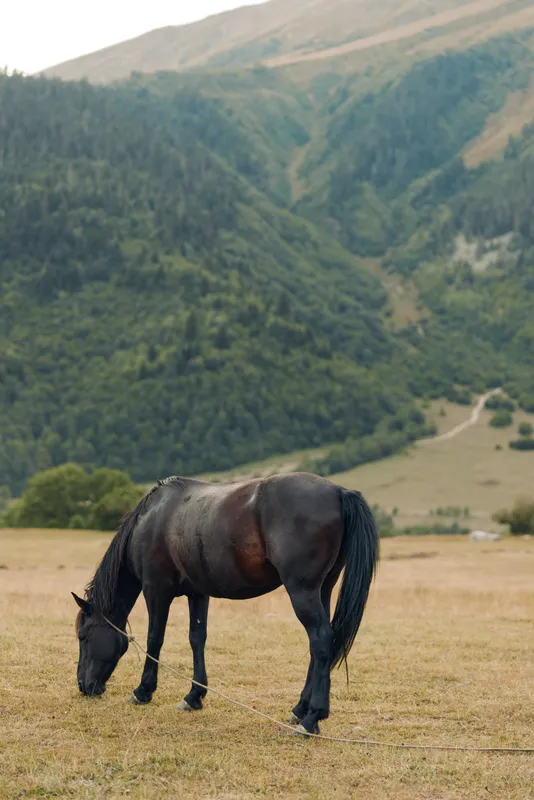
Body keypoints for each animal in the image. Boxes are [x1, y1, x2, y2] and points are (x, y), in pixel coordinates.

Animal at [72, 472, 379, 735]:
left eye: (83, 636)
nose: (83, 686)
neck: (153, 517)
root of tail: (338, 492)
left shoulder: (156, 591)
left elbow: (154, 639)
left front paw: (143, 691)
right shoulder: (197, 594)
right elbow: (197, 638)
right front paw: (194, 696)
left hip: (302, 591)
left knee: (321, 639)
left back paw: (312, 718)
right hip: (323, 590)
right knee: (320, 645)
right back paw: (299, 709)